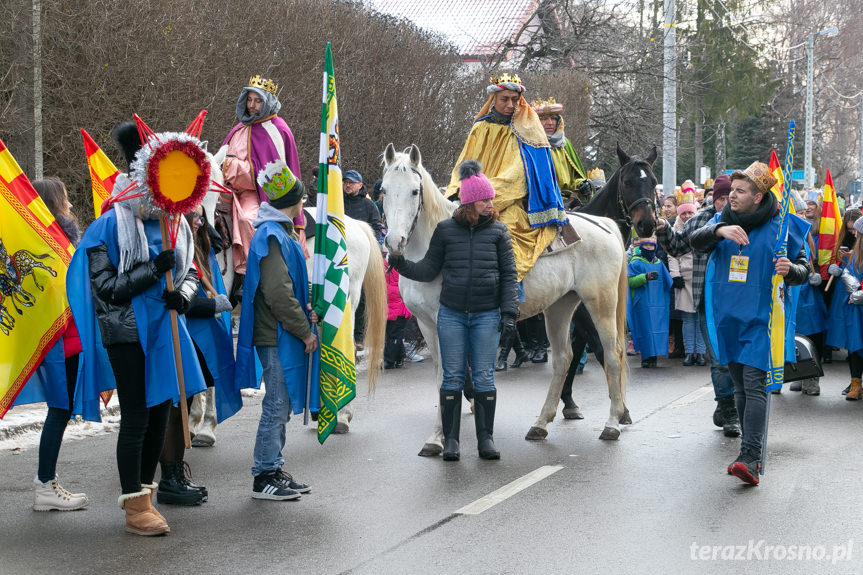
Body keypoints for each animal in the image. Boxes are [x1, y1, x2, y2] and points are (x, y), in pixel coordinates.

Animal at [382, 143, 632, 454]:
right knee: (564, 358)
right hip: (560, 307)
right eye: (383, 189)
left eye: (415, 191)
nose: (394, 242)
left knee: (612, 354)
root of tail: (604, 225)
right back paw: (541, 424)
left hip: (601, 304)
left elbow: (448, 374)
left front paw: (439, 436)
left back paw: (612, 423)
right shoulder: (426, 324)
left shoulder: (446, 322)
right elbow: (443, 373)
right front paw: (438, 436)